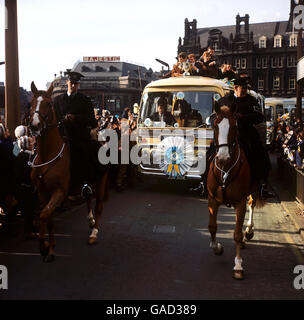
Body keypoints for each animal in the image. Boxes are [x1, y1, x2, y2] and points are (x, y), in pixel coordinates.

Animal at [28, 82, 109, 262]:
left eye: (48, 103)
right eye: (31, 103)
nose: (34, 126)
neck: (47, 154)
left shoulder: (59, 192)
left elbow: (43, 215)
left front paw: (44, 247)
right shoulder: (42, 193)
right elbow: (47, 217)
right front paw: (50, 248)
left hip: (101, 180)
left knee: (99, 206)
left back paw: (94, 233)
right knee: (88, 196)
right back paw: (90, 220)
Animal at [207, 107, 266, 278]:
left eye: (234, 126)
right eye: (215, 126)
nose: (222, 157)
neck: (225, 169)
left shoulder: (240, 202)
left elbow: (237, 234)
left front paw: (238, 266)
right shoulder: (212, 200)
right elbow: (212, 227)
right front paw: (217, 248)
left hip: (253, 190)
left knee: (251, 205)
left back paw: (249, 231)